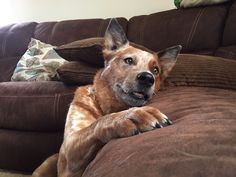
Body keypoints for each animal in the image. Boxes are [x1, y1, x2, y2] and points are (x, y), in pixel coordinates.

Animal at [32, 18, 182, 177]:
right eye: (129, 60)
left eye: (155, 70)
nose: (147, 78)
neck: (109, 107)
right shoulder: (68, 151)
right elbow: (100, 122)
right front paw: (132, 115)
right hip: (49, 162)